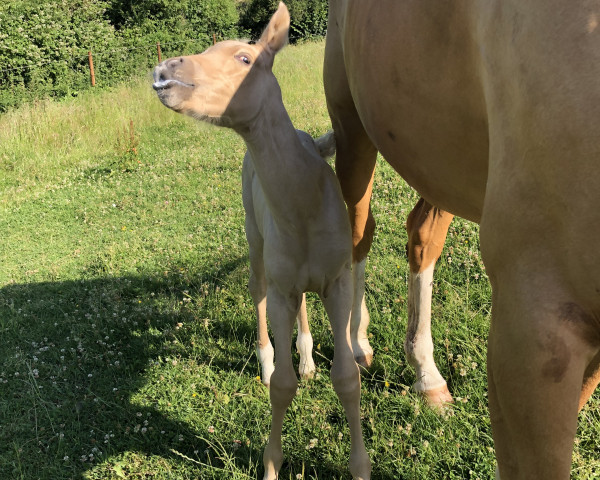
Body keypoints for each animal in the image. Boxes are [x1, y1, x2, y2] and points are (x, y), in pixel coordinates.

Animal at [152, 2, 370, 476]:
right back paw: (268, 359)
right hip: (255, 238)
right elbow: (282, 388)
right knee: (258, 291)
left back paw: (307, 357)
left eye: (245, 58)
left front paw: (360, 466)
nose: (163, 72)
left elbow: (347, 377)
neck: (303, 204)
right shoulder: (283, 286)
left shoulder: (337, 281)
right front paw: (271, 465)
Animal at [326, 1, 600, 478]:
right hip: (352, 131)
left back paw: (426, 375)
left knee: (422, 235)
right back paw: (357, 342)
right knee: (359, 234)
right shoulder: (535, 334)